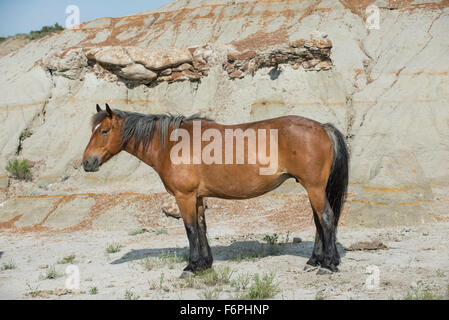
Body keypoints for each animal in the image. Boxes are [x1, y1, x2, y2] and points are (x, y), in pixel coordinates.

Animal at [85, 104, 350, 274]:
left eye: (104, 131)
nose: (87, 162)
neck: (173, 143)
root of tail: (322, 127)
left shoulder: (184, 197)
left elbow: (190, 229)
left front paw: (191, 267)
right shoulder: (197, 197)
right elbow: (201, 228)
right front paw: (204, 265)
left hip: (314, 188)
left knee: (326, 218)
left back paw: (328, 265)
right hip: (313, 189)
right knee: (319, 221)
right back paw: (314, 261)